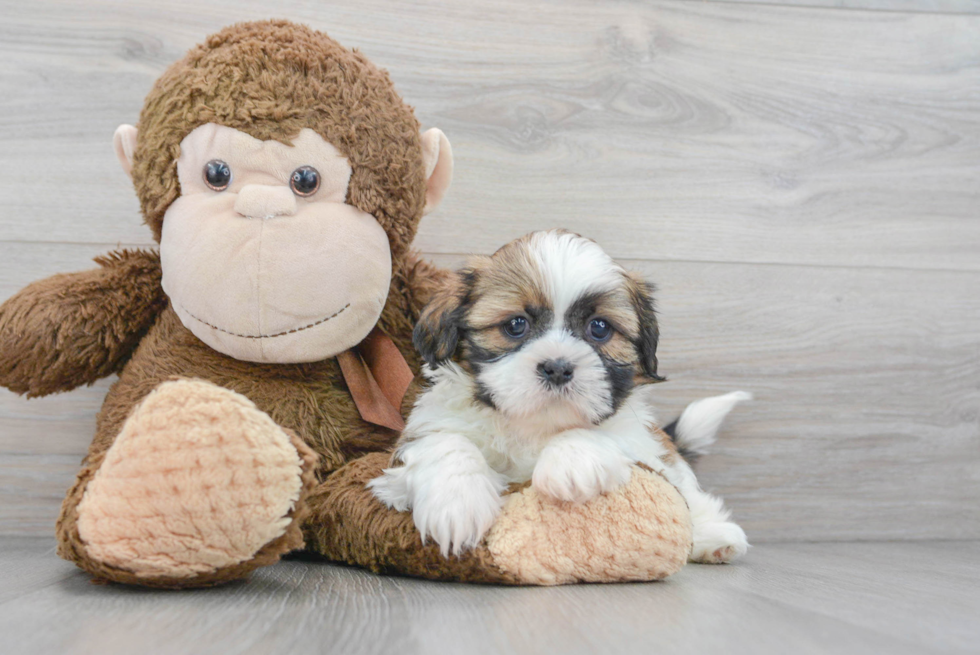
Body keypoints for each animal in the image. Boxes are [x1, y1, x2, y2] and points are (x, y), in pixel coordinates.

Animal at [370, 231, 752, 564]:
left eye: (599, 328)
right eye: (515, 325)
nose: (557, 367)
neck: (533, 426)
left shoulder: (639, 442)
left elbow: (607, 434)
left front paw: (573, 462)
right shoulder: (425, 427)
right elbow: (445, 441)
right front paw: (456, 503)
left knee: (688, 491)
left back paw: (713, 536)